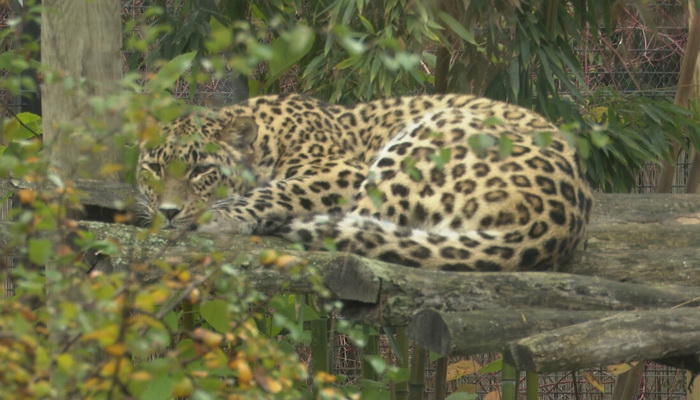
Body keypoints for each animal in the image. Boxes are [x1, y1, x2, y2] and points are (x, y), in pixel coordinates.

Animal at [135, 94, 592, 272]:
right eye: (154, 169)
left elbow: (278, 190)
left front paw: (220, 215)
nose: (168, 213)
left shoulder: (340, 170)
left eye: (200, 171)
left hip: (424, 137)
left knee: (356, 226)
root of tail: (560, 223)